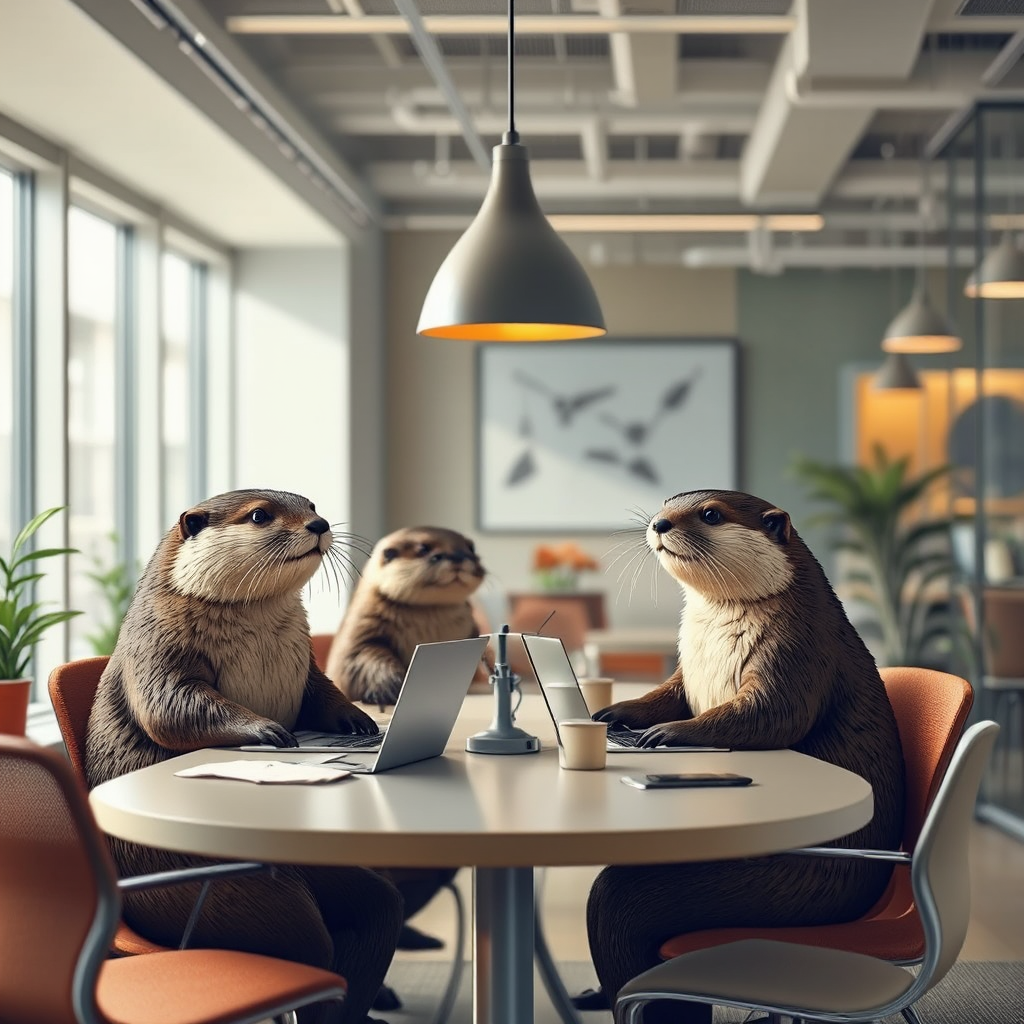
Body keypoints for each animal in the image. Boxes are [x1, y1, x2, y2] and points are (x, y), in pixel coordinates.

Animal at [85, 489, 403, 1024]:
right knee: (308, 942)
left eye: (310, 503)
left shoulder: (306, 662)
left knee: (377, 911)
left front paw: (360, 721)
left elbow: (321, 691)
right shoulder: (161, 636)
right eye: (259, 515)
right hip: (232, 897)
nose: (319, 524)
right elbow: (170, 705)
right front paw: (269, 730)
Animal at [325, 525, 489, 707]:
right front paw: (388, 690)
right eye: (424, 548)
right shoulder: (361, 628)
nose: (459, 557)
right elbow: (366, 656)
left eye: (471, 548)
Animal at [583, 489, 905, 1024]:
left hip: (785, 889)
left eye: (710, 513)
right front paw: (614, 713)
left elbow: (772, 713)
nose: (659, 523)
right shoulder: (686, 673)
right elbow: (668, 692)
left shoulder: (798, 646)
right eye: (668, 501)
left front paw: (664, 733)